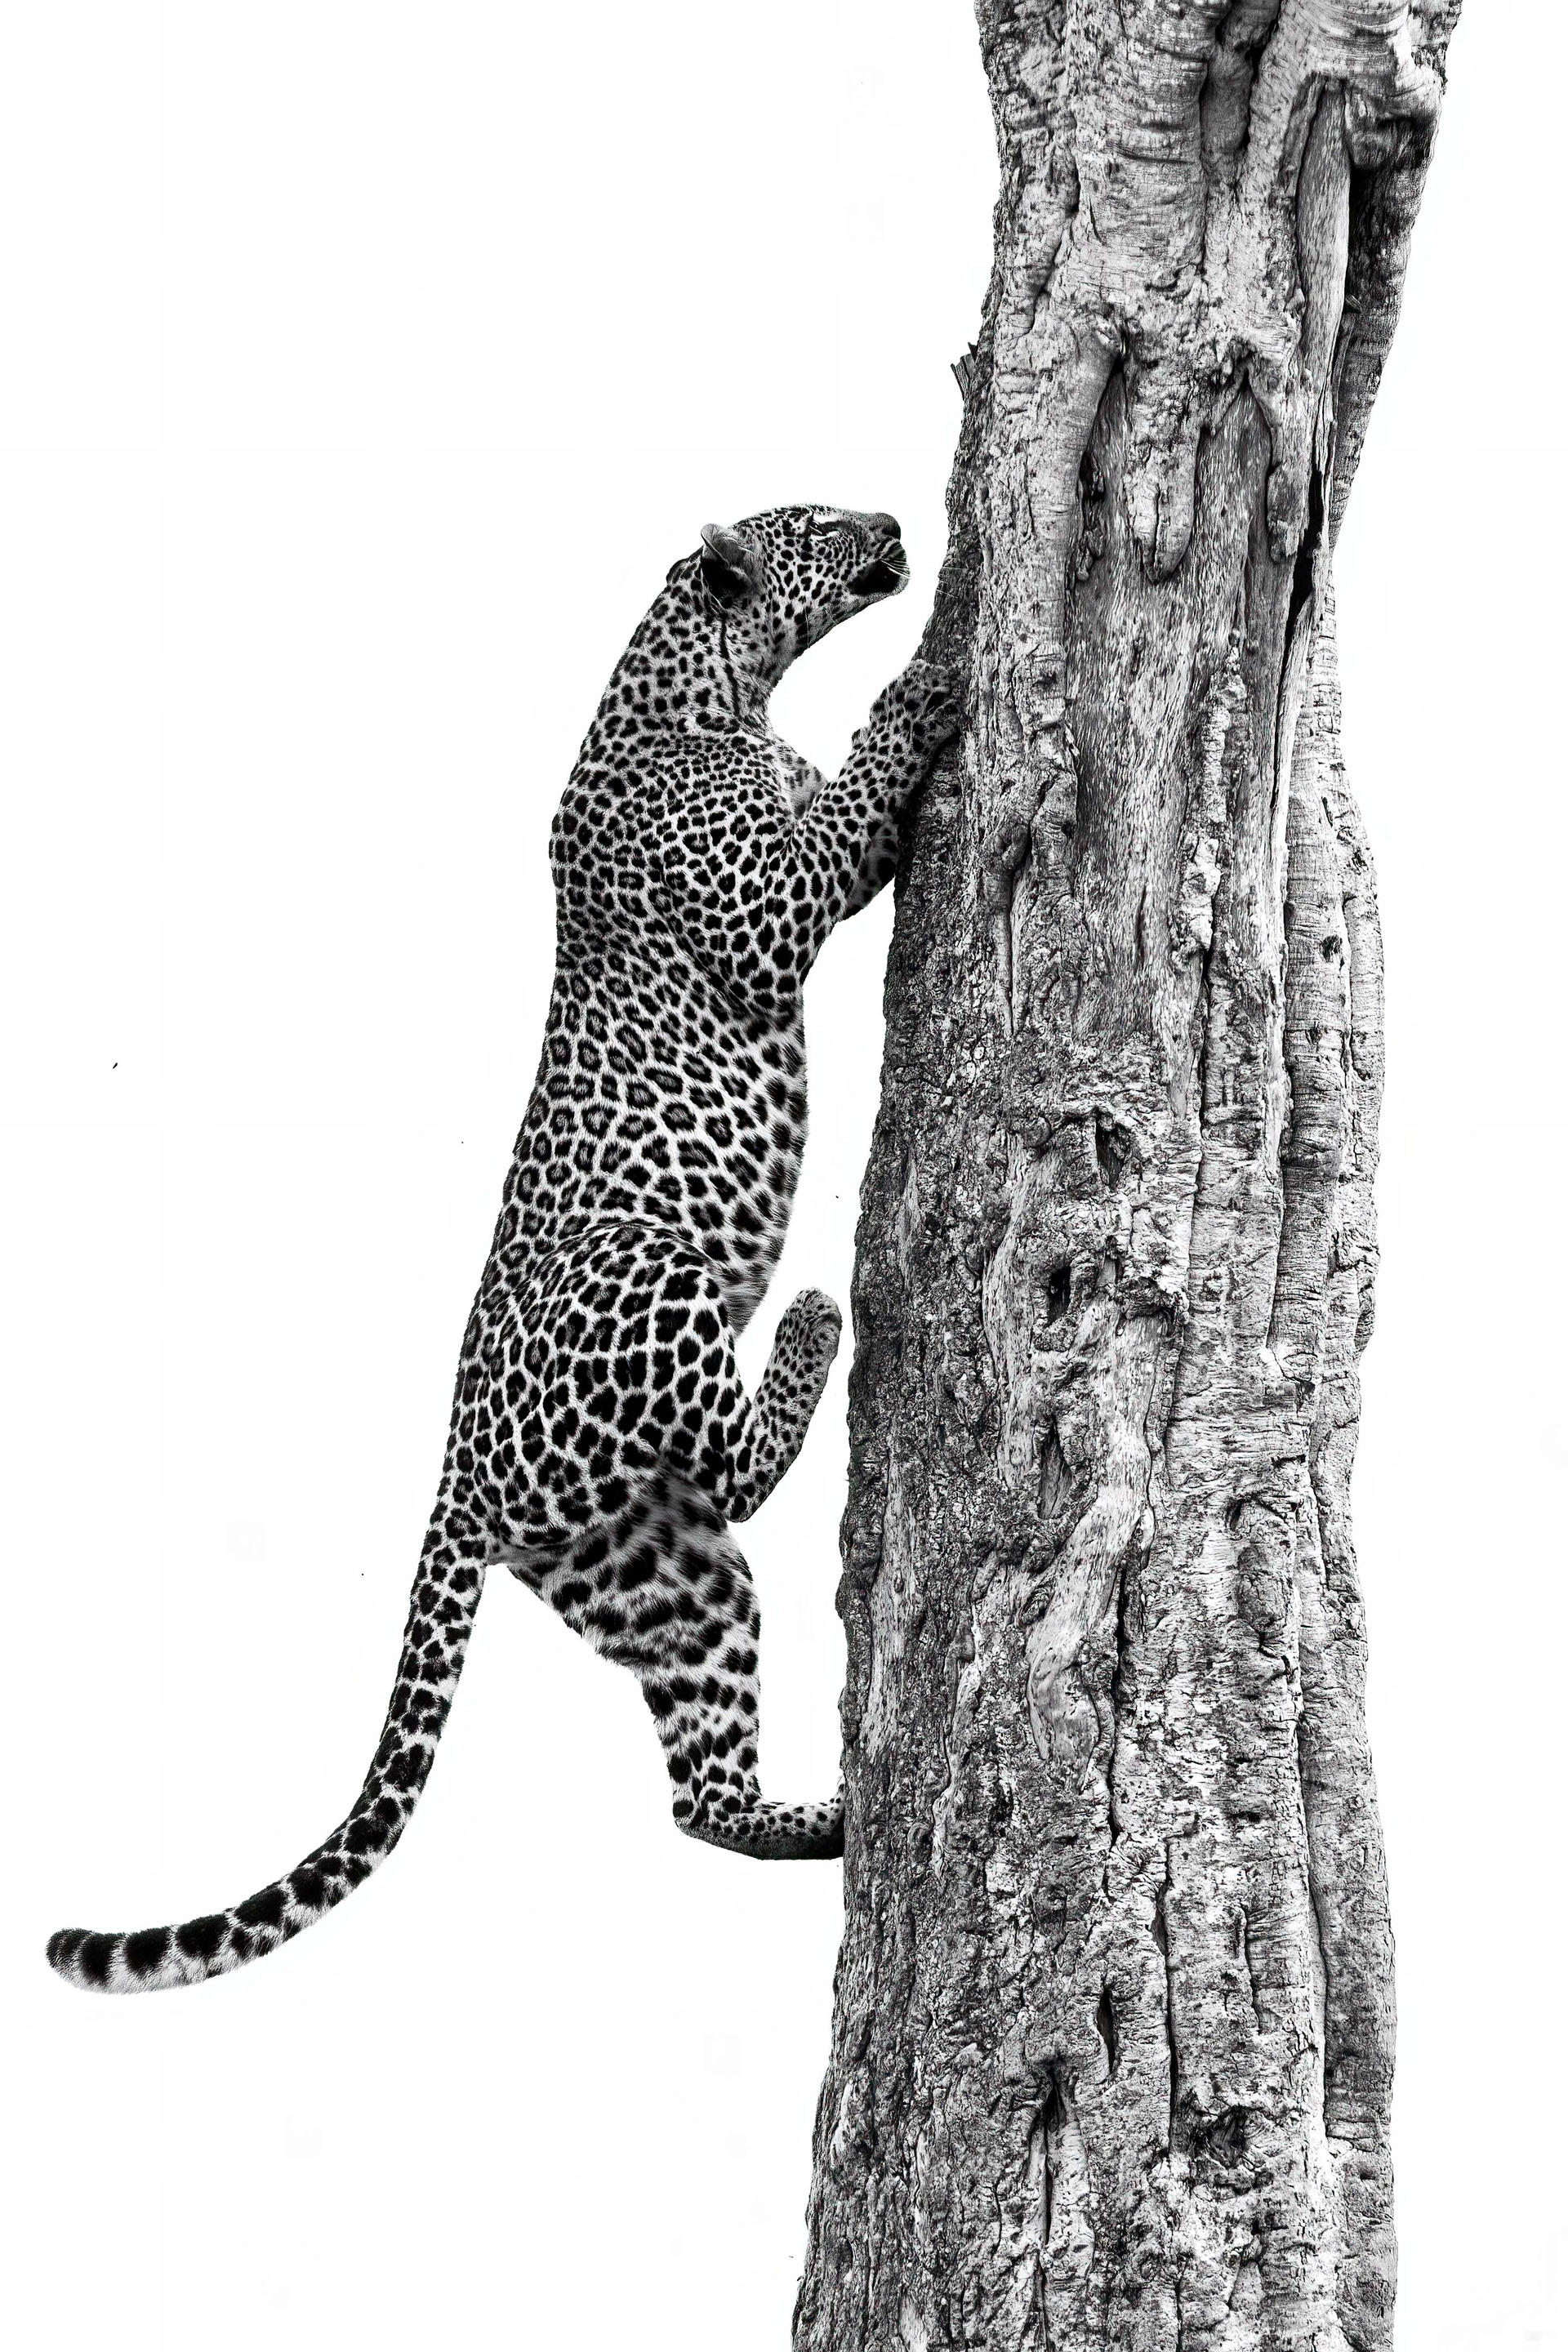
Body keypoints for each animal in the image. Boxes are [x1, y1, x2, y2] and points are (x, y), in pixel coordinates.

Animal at [47, 504, 961, 1993]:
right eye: (815, 525)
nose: (889, 521)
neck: (713, 694)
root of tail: (454, 1477)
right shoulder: (765, 902)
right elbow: (843, 820)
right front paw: (917, 697)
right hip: (636, 1270)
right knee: (738, 1463)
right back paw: (814, 1322)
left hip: (649, 1566)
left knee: (699, 1791)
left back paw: (823, 1822)